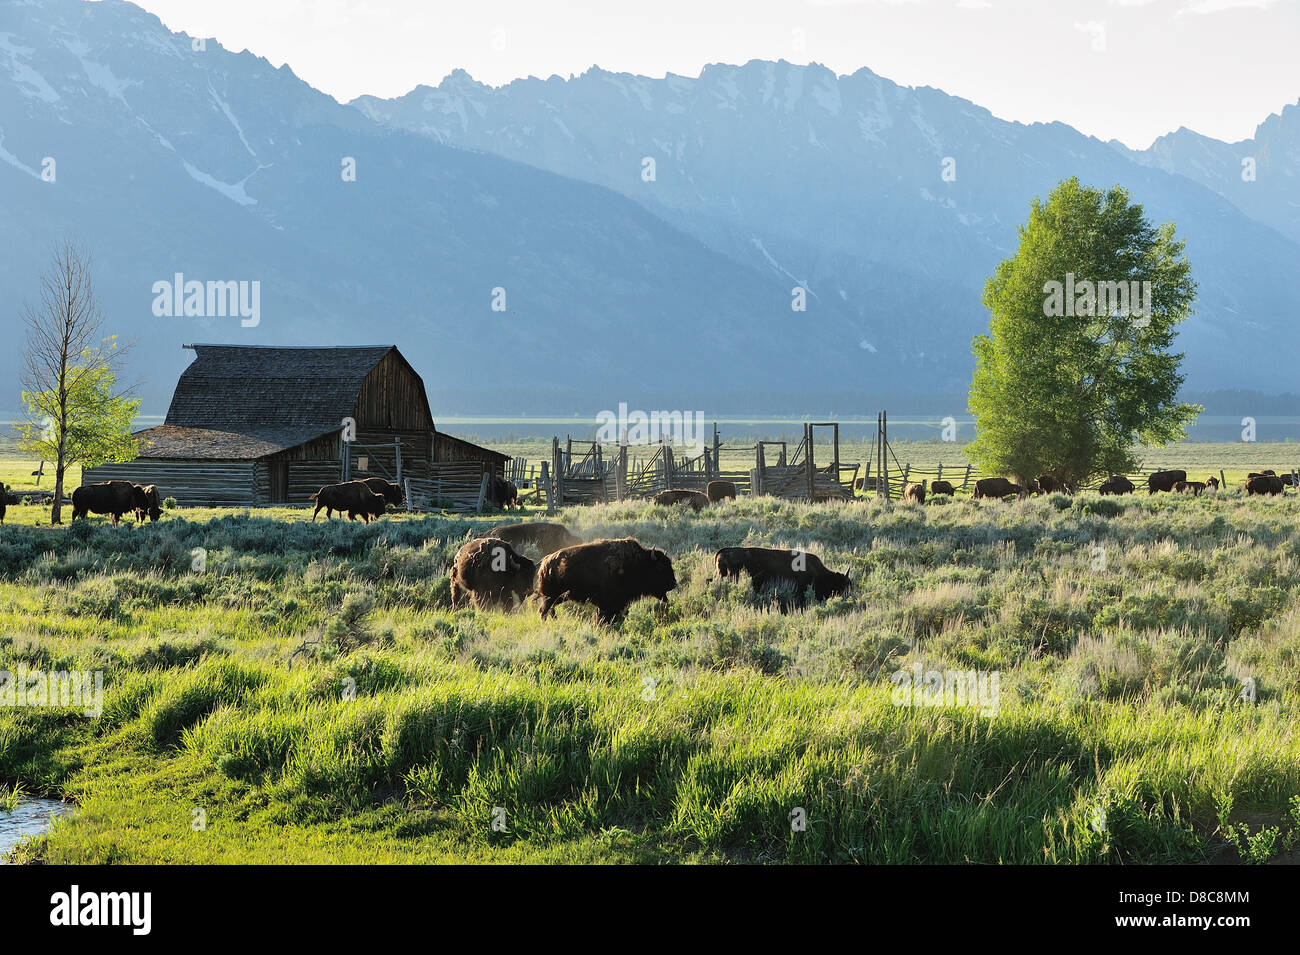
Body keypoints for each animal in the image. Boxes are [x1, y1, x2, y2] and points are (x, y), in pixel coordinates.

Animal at [538, 537, 681, 628]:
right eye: (660, 567)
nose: (673, 583)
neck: (638, 563)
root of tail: (545, 562)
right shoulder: (609, 605)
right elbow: (605, 617)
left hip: (558, 598)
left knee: (550, 610)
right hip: (550, 597)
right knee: (544, 611)